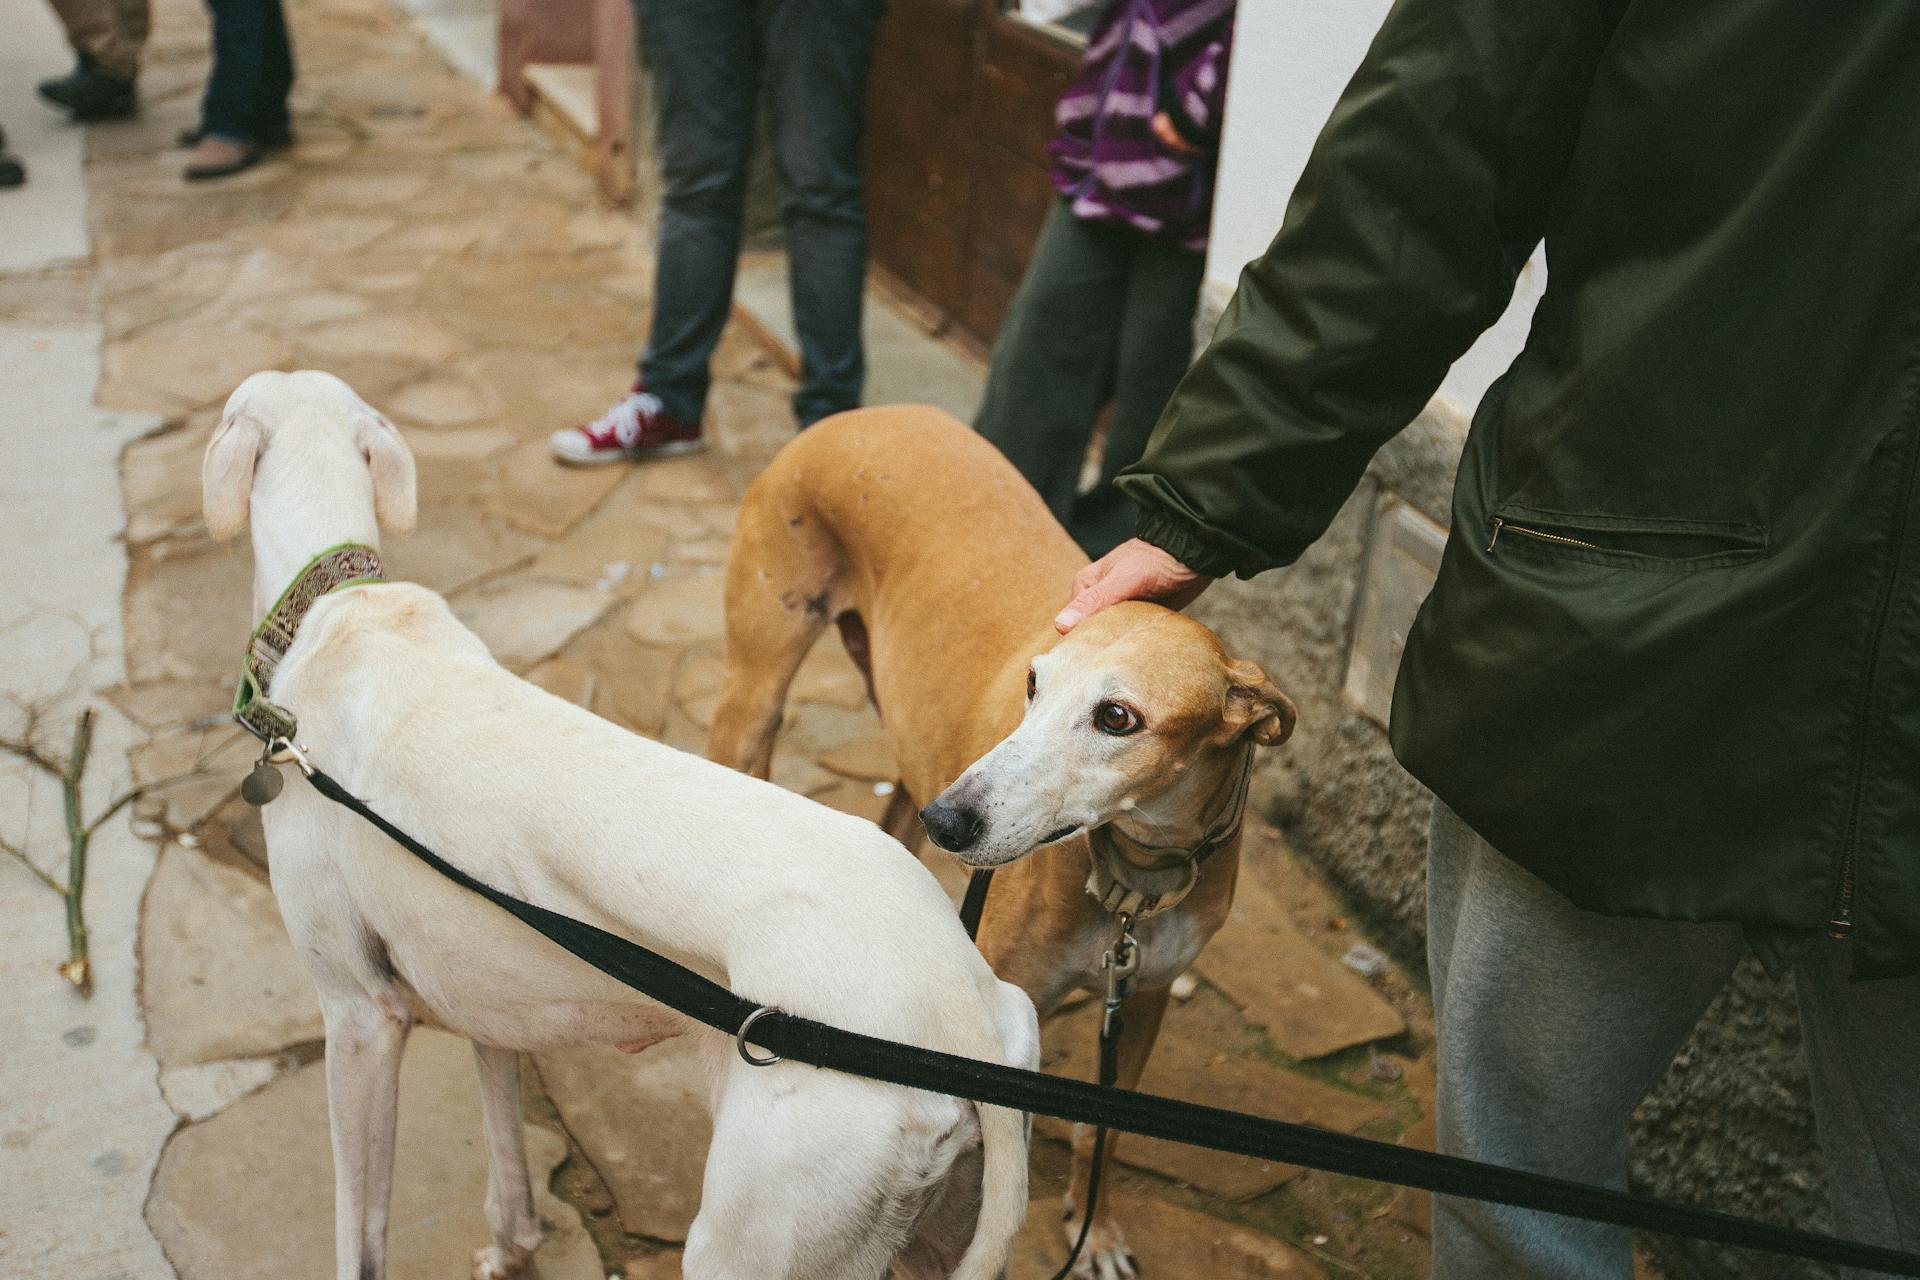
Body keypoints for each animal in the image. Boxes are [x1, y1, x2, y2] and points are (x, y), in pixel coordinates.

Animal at [204, 372, 1044, 1280]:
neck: (342, 612)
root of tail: (964, 1007)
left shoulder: (360, 1015)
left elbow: (359, 1235)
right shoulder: (483, 1000)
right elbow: (508, 1168)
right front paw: (512, 1246)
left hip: (750, 1240)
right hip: (925, 1225)